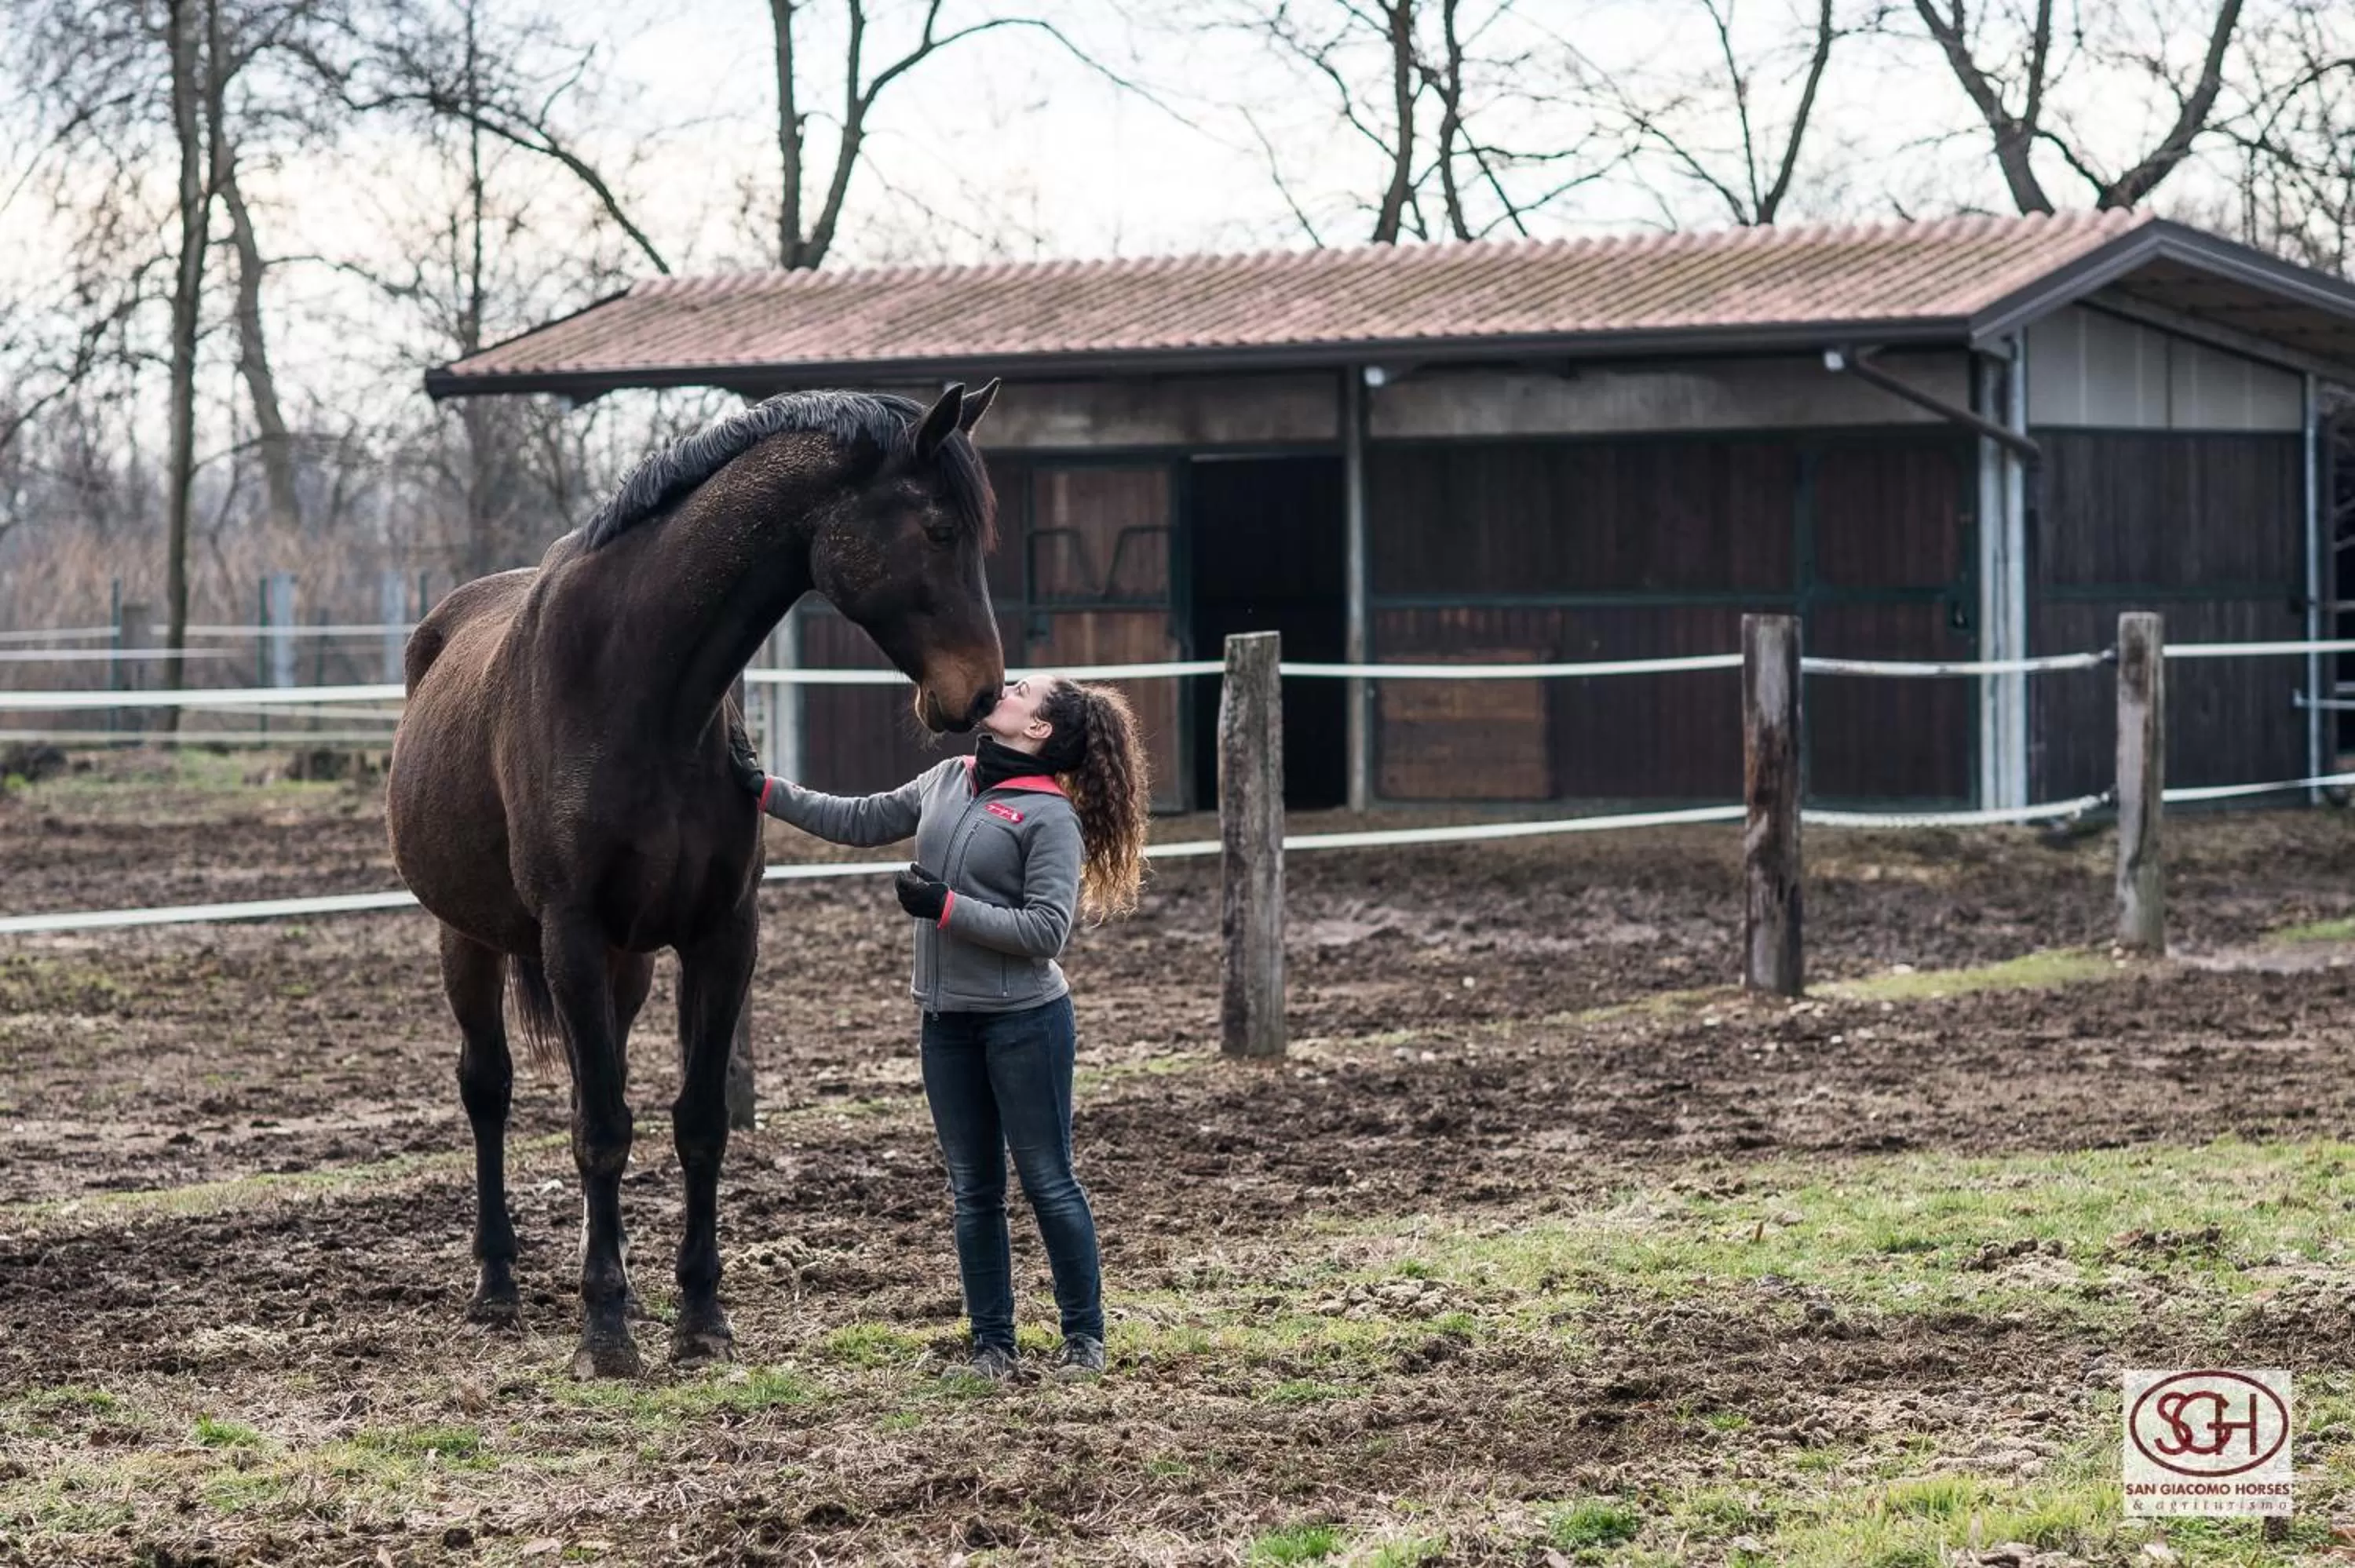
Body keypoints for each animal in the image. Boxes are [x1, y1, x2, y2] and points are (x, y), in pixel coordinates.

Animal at [385, 382, 1004, 1378]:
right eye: (939, 528)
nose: (981, 695)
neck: (642, 690)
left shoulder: (720, 934)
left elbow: (696, 1122)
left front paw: (698, 1316)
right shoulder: (570, 932)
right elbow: (602, 1130)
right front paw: (605, 1332)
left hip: (626, 966)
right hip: (470, 940)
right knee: (489, 1091)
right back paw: (497, 1286)